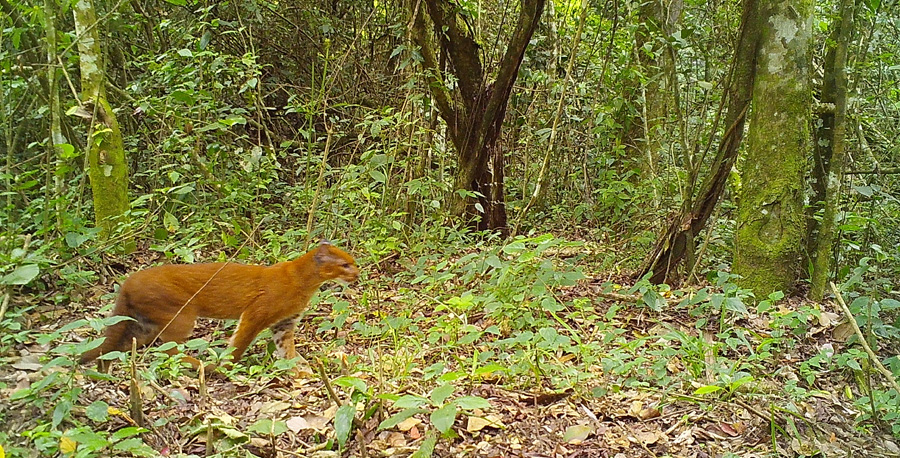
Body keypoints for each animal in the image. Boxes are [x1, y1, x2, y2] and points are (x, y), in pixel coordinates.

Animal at [79, 242, 356, 370]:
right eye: (344, 264)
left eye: (351, 262)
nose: (358, 272)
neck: (305, 279)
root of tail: (128, 280)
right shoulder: (256, 314)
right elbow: (239, 342)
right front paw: (227, 365)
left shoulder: (284, 324)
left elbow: (286, 350)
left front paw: (300, 368)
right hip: (182, 315)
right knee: (169, 350)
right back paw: (201, 365)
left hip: (143, 325)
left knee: (118, 347)